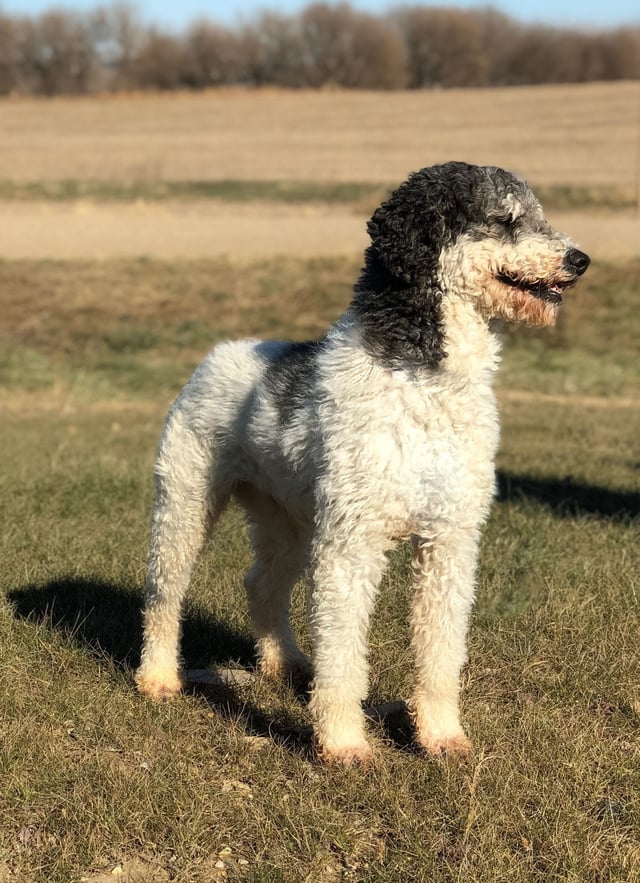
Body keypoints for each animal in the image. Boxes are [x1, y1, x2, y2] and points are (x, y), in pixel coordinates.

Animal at [135, 161, 592, 768]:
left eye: (537, 215)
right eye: (505, 219)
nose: (580, 259)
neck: (426, 378)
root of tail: (218, 354)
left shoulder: (450, 540)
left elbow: (441, 652)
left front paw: (440, 736)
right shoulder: (351, 545)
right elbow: (344, 655)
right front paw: (344, 744)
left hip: (288, 520)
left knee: (262, 584)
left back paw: (284, 663)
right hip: (187, 503)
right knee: (165, 593)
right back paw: (158, 678)